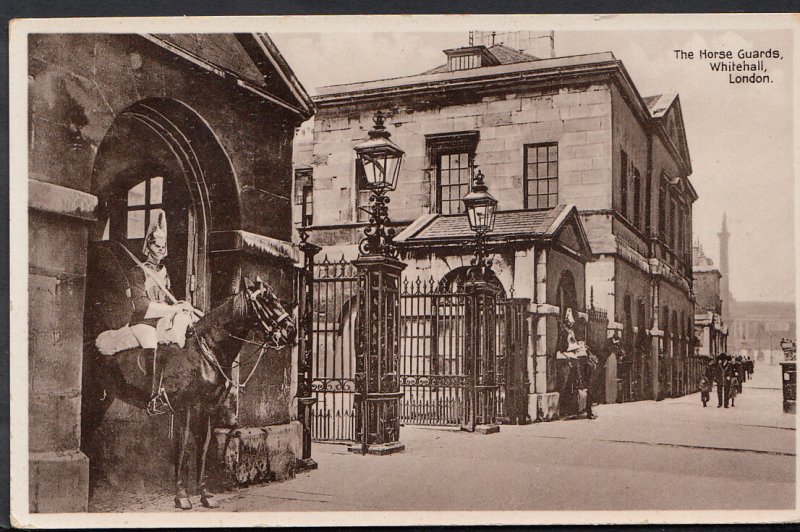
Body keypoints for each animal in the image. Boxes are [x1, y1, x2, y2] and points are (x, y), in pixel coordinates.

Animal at [80, 242, 296, 512]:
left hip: (102, 400)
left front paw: (204, 494)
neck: (206, 350)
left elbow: (202, 448)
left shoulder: (208, 410)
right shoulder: (185, 408)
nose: (291, 331)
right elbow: (182, 448)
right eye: (266, 300)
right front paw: (182, 496)